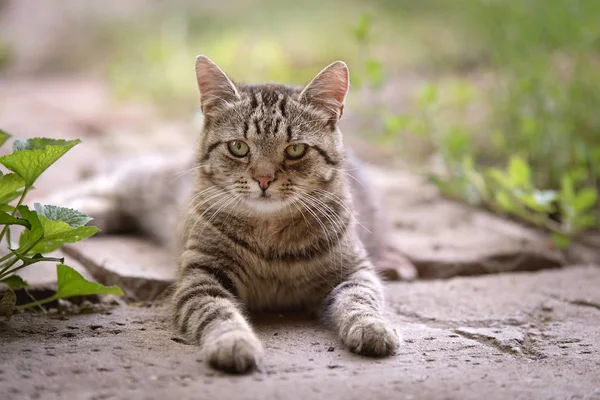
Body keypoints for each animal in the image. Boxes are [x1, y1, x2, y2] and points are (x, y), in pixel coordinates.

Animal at [44, 55, 414, 372]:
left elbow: (361, 300)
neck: (271, 235)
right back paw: (49, 215)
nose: (263, 179)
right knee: (103, 181)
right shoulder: (201, 277)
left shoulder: (354, 270)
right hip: (145, 183)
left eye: (295, 150)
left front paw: (373, 327)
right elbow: (218, 313)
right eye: (239, 147)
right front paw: (234, 342)